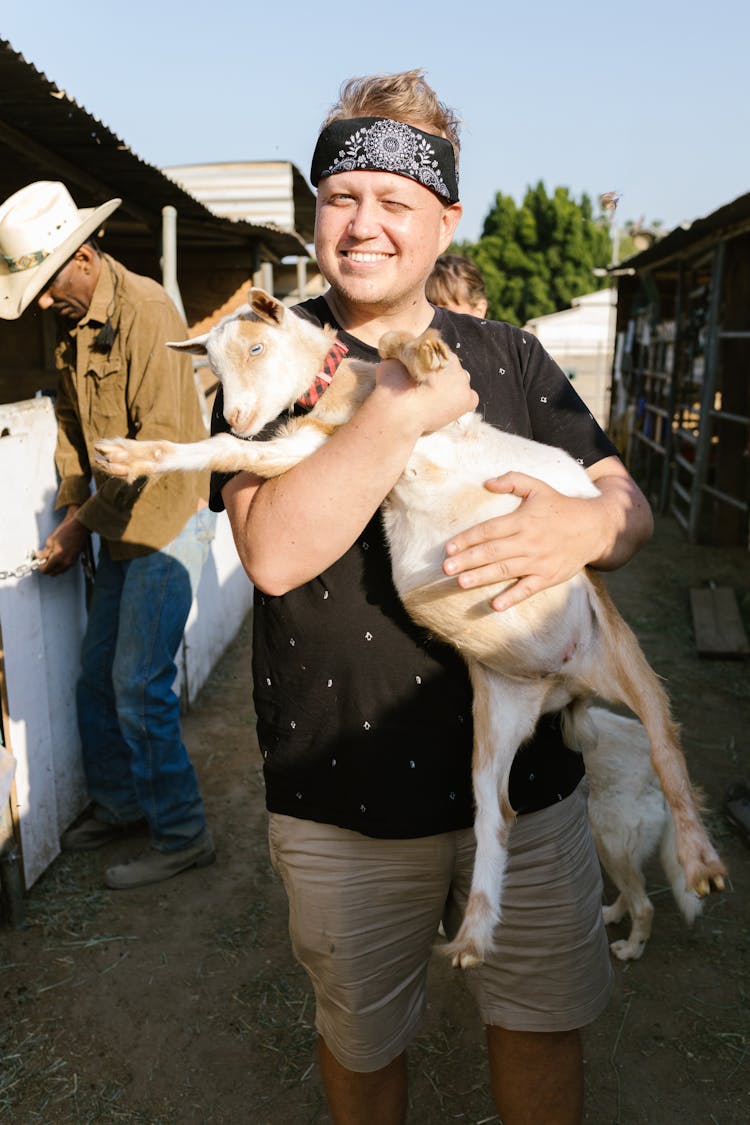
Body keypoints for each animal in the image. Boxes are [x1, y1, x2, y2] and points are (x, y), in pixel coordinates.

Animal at [95, 290, 728, 967]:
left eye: (257, 346)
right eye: (210, 365)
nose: (236, 414)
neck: (343, 401)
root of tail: (564, 684)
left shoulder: (445, 420)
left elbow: (399, 349)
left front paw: (423, 351)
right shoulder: (301, 453)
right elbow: (229, 453)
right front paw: (134, 457)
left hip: (623, 657)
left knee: (667, 745)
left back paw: (701, 865)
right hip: (496, 716)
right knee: (496, 815)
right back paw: (473, 936)